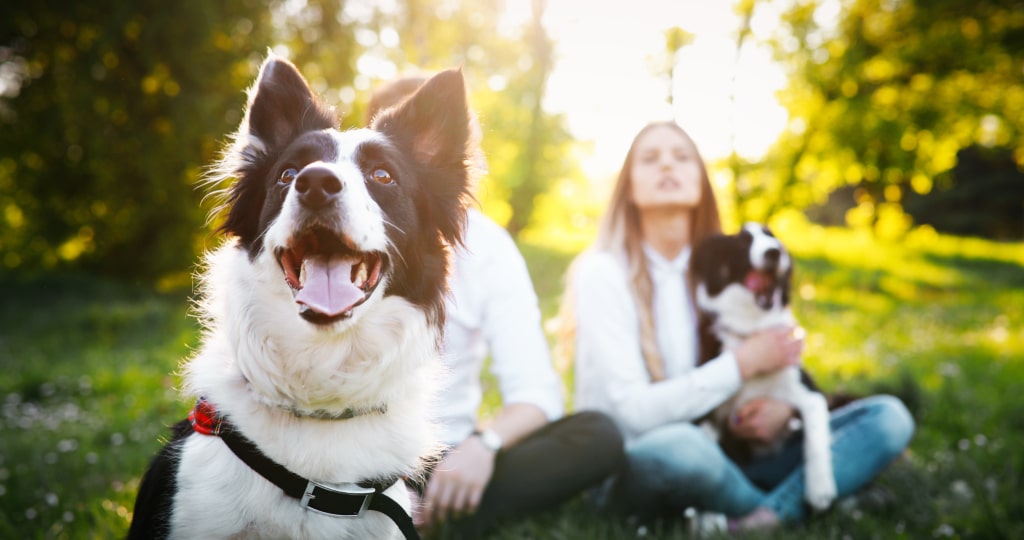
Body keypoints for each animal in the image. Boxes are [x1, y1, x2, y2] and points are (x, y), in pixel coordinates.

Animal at [692, 223, 835, 512]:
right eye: (742, 243)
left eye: (772, 238)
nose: (774, 252)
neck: (753, 331)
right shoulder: (709, 412)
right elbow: (709, 456)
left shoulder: (809, 393)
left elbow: (815, 436)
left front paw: (820, 489)